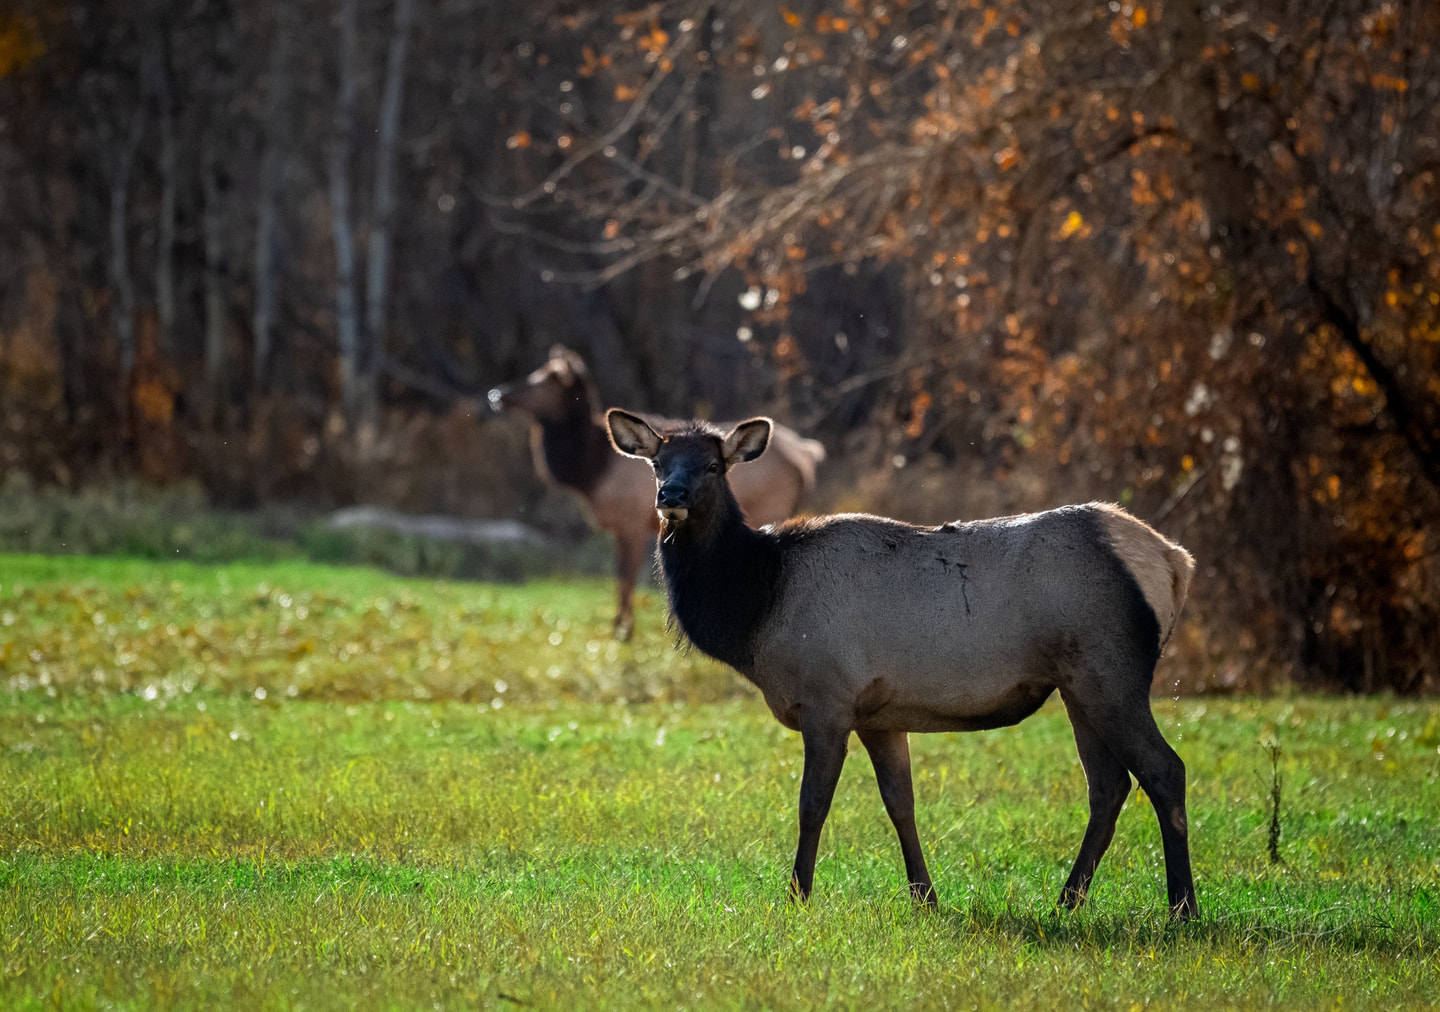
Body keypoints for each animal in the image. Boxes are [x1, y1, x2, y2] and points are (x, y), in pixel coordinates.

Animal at [488, 346, 825, 639]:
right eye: (537, 373)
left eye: (544, 379)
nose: (498, 395)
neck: (592, 471)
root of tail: (806, 453)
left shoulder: (631, 521)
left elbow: (625, 578)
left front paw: (623, 631)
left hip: (772, 506)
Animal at [606, 409, 1200, 920]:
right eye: (658, 462)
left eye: (713, 465)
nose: (670, 496)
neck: (759, 604)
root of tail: (1175, 562)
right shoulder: (879, 714)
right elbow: (901, 805)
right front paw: (926, 898)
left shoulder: (827, 697)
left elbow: (811, 804)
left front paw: (797, 895)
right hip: (1077, 683)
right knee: (1108, 786)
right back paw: (1067, 901)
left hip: (1111, 669)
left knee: (1164, 769)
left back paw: (1182, 908)